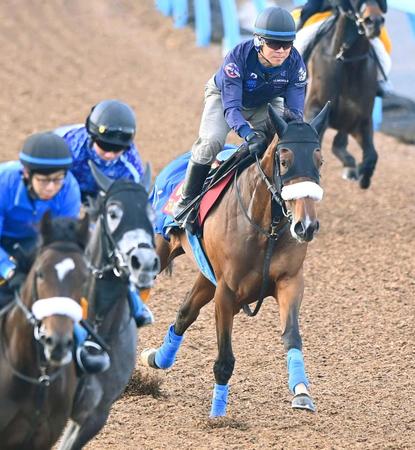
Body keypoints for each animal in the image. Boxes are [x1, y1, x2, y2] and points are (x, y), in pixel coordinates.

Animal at [143, 103, 332, 416]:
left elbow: (292, 336)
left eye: (319, 161)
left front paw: (302, 393)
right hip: (158, 251)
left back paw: (157, 358)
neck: (265, 227)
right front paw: (217, 416)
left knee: (185, 313)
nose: (306, 226)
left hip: (206, 275)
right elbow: (225, 360)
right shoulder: (226, 292)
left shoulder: (289, 281)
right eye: (284, 161)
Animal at [306, 0, 386, 188]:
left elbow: (371, 156)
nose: (374, 22)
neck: (347, 59)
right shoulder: (314, 109)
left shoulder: (361, 120)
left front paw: (364, 176)